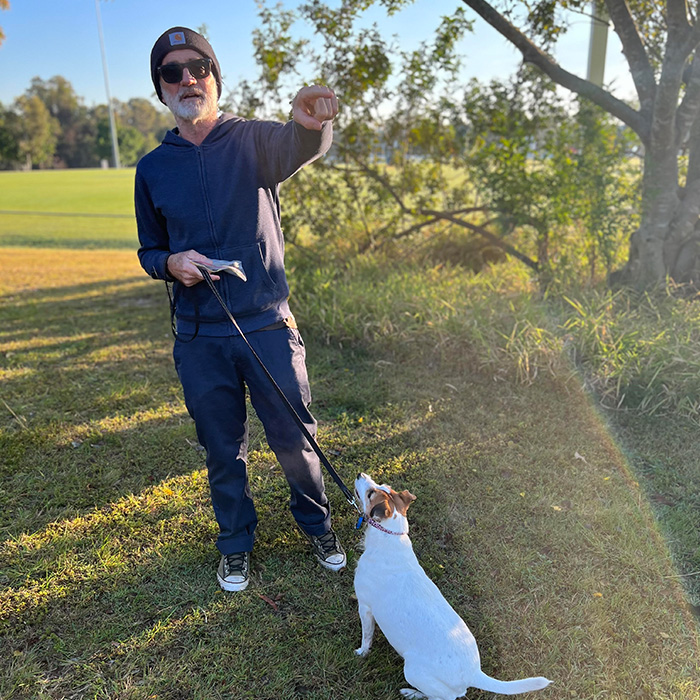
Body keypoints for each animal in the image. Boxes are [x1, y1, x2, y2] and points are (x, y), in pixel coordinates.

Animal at [356, 474, 552, 696]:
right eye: (380, 486)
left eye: (370, 493)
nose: (360, 475)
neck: (389, 536)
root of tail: (474, 674)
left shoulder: (365, 606)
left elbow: (366, 637)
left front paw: (361, 652)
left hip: (414, 671)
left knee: (446, 696)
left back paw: (412, 693)